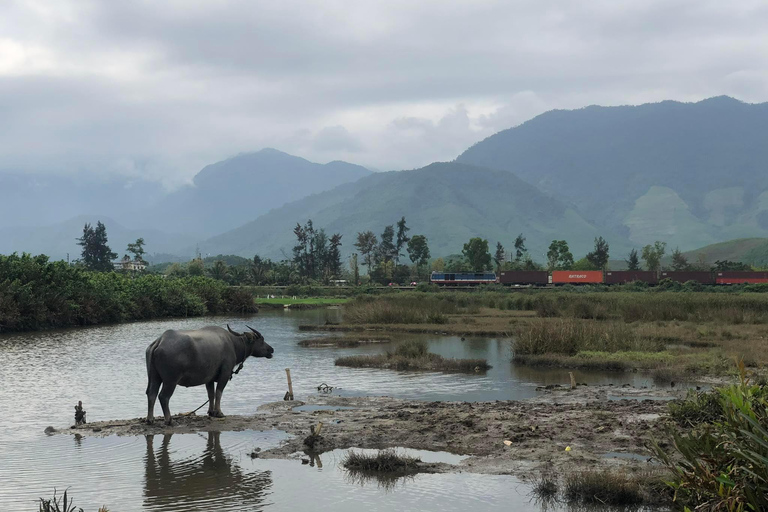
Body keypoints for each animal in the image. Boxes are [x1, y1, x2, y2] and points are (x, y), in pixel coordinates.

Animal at [146, 326, 274, 426]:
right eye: (261, 340)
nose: (271, 350)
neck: (233, 343)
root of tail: (160, 341)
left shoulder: (209, 379)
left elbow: (211, 394)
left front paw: (211, 412)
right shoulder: (225, 374)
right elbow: (219, 393)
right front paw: (219, 412)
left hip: (154, 377)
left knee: (151, 394)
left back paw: (150, 419)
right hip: (171, 380)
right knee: (163, 397)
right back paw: (169, 420)